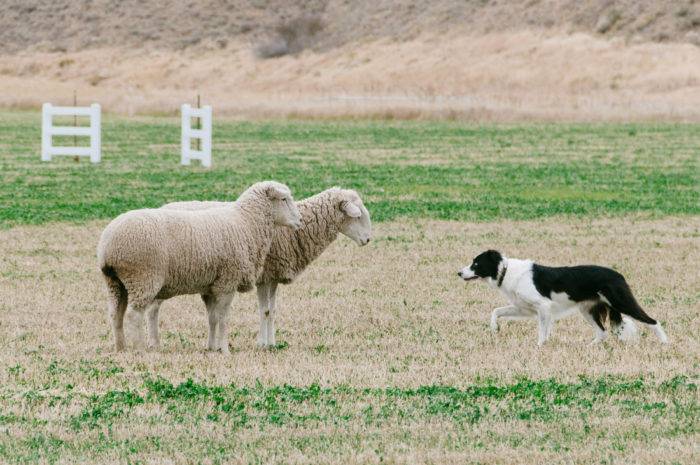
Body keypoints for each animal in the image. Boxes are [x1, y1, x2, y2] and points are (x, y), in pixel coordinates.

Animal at [95, 181, 300, 352]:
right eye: (284, 199)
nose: (299, 221)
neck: (246, 223)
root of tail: (108, 246)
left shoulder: (210, 286)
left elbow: (212, 318)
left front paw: (212, 347)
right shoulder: (227, 282)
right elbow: (223, 318)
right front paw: (224, 349)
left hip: (115, 282)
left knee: (116, 314)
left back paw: (121, 348)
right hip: (142, 278)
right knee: (134, 315)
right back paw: (139, 350)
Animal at [160, 187, 372, 346]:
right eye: (357, 216)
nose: (368, 240)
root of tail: (164, 206)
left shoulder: (274, 276)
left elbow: (273, 310)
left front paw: (272, 343)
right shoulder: (265, 276)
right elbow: (265, 311)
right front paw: (263, 343)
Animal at [456, 250, 668, 344]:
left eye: (476, 264)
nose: (459, 273)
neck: (505, 271)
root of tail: (619, 275)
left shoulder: (543, 306)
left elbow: (542, 331)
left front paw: (540, 347)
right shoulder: (524, 308)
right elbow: (496, 311)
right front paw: (495, 328)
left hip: (621, 301)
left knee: (652, 321)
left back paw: (664, 342)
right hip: (587, 310)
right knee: (602, 332)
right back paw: (589, 347)